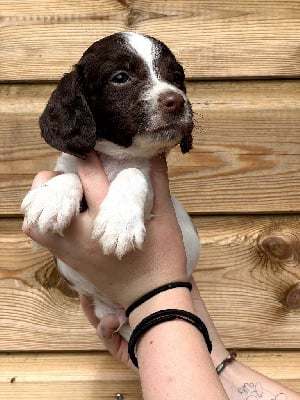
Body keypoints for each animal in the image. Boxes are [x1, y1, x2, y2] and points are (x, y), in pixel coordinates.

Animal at [22, 32, 200, 340]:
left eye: (176, 77)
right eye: (120, 77)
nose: (176, 101)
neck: (114, 158)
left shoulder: (151, 188)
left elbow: (132, 173)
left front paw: (119, 223)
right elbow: (67, 175)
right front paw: (51, 200)